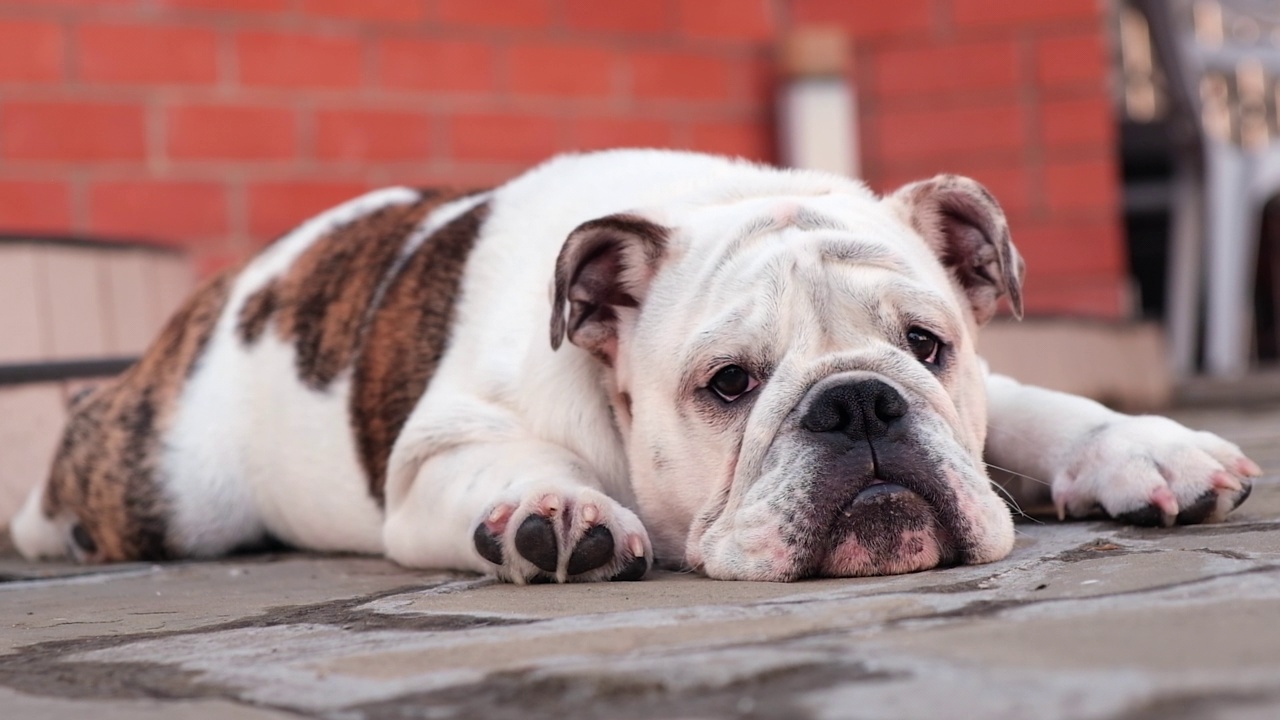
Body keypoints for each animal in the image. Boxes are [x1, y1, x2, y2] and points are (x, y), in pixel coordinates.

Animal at [10, 151, 1259, 584]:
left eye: (924, 347)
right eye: (728, 385)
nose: (857, 404)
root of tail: (245, 280)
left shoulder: (975, 398)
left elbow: (1032, 406)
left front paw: (1142, 447)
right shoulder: (435, 460)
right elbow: (514, 467)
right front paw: (555, 512)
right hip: (170, 488)